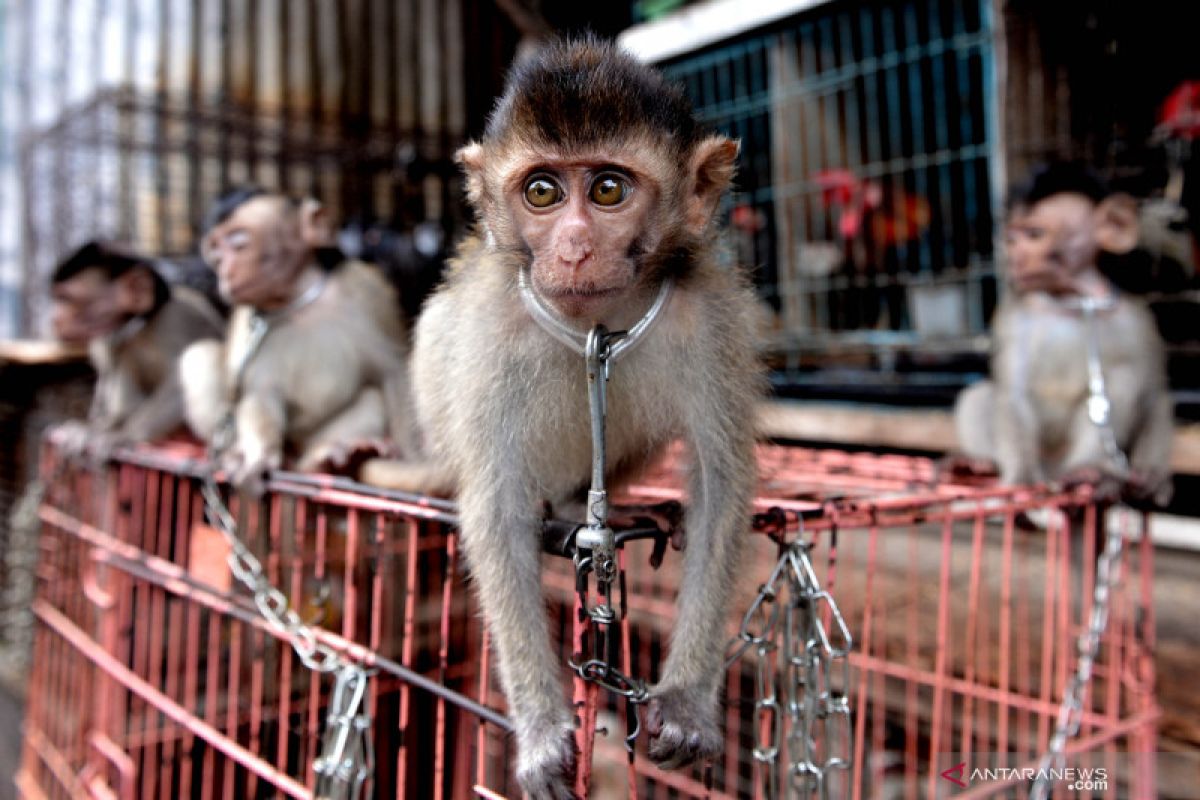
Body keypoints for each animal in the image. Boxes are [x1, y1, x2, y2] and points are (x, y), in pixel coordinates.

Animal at [50, 241, 226, 460]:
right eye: (58, 297)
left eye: (66, 298)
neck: (145, 317)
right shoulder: (105, 335)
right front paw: (94, 428)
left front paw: (125, 435)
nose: (55, 318)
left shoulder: (177, 317)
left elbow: (177, 383)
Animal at [408, 35, 763, 796]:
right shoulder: (492, 332)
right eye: (541, 192)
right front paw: (542, 727)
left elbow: (720, 484)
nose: (572, 249)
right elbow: (496, 509)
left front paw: (687, 700)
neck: (597, 322)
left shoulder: (710, 319)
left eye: (607, 189)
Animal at [955, 164, 1171, 506]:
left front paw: (1150, 474)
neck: (1074, 299)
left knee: (1123, 378)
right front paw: (1021, 478)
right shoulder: (1016, 316)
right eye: (1012, 238)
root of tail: (1054, 469)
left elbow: (1153, 393)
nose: (1016, 257)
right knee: (978, 396)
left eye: (1034, 234)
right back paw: (977, 462)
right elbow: (1013, 392)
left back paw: (1091, 470)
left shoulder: (1138, 320)